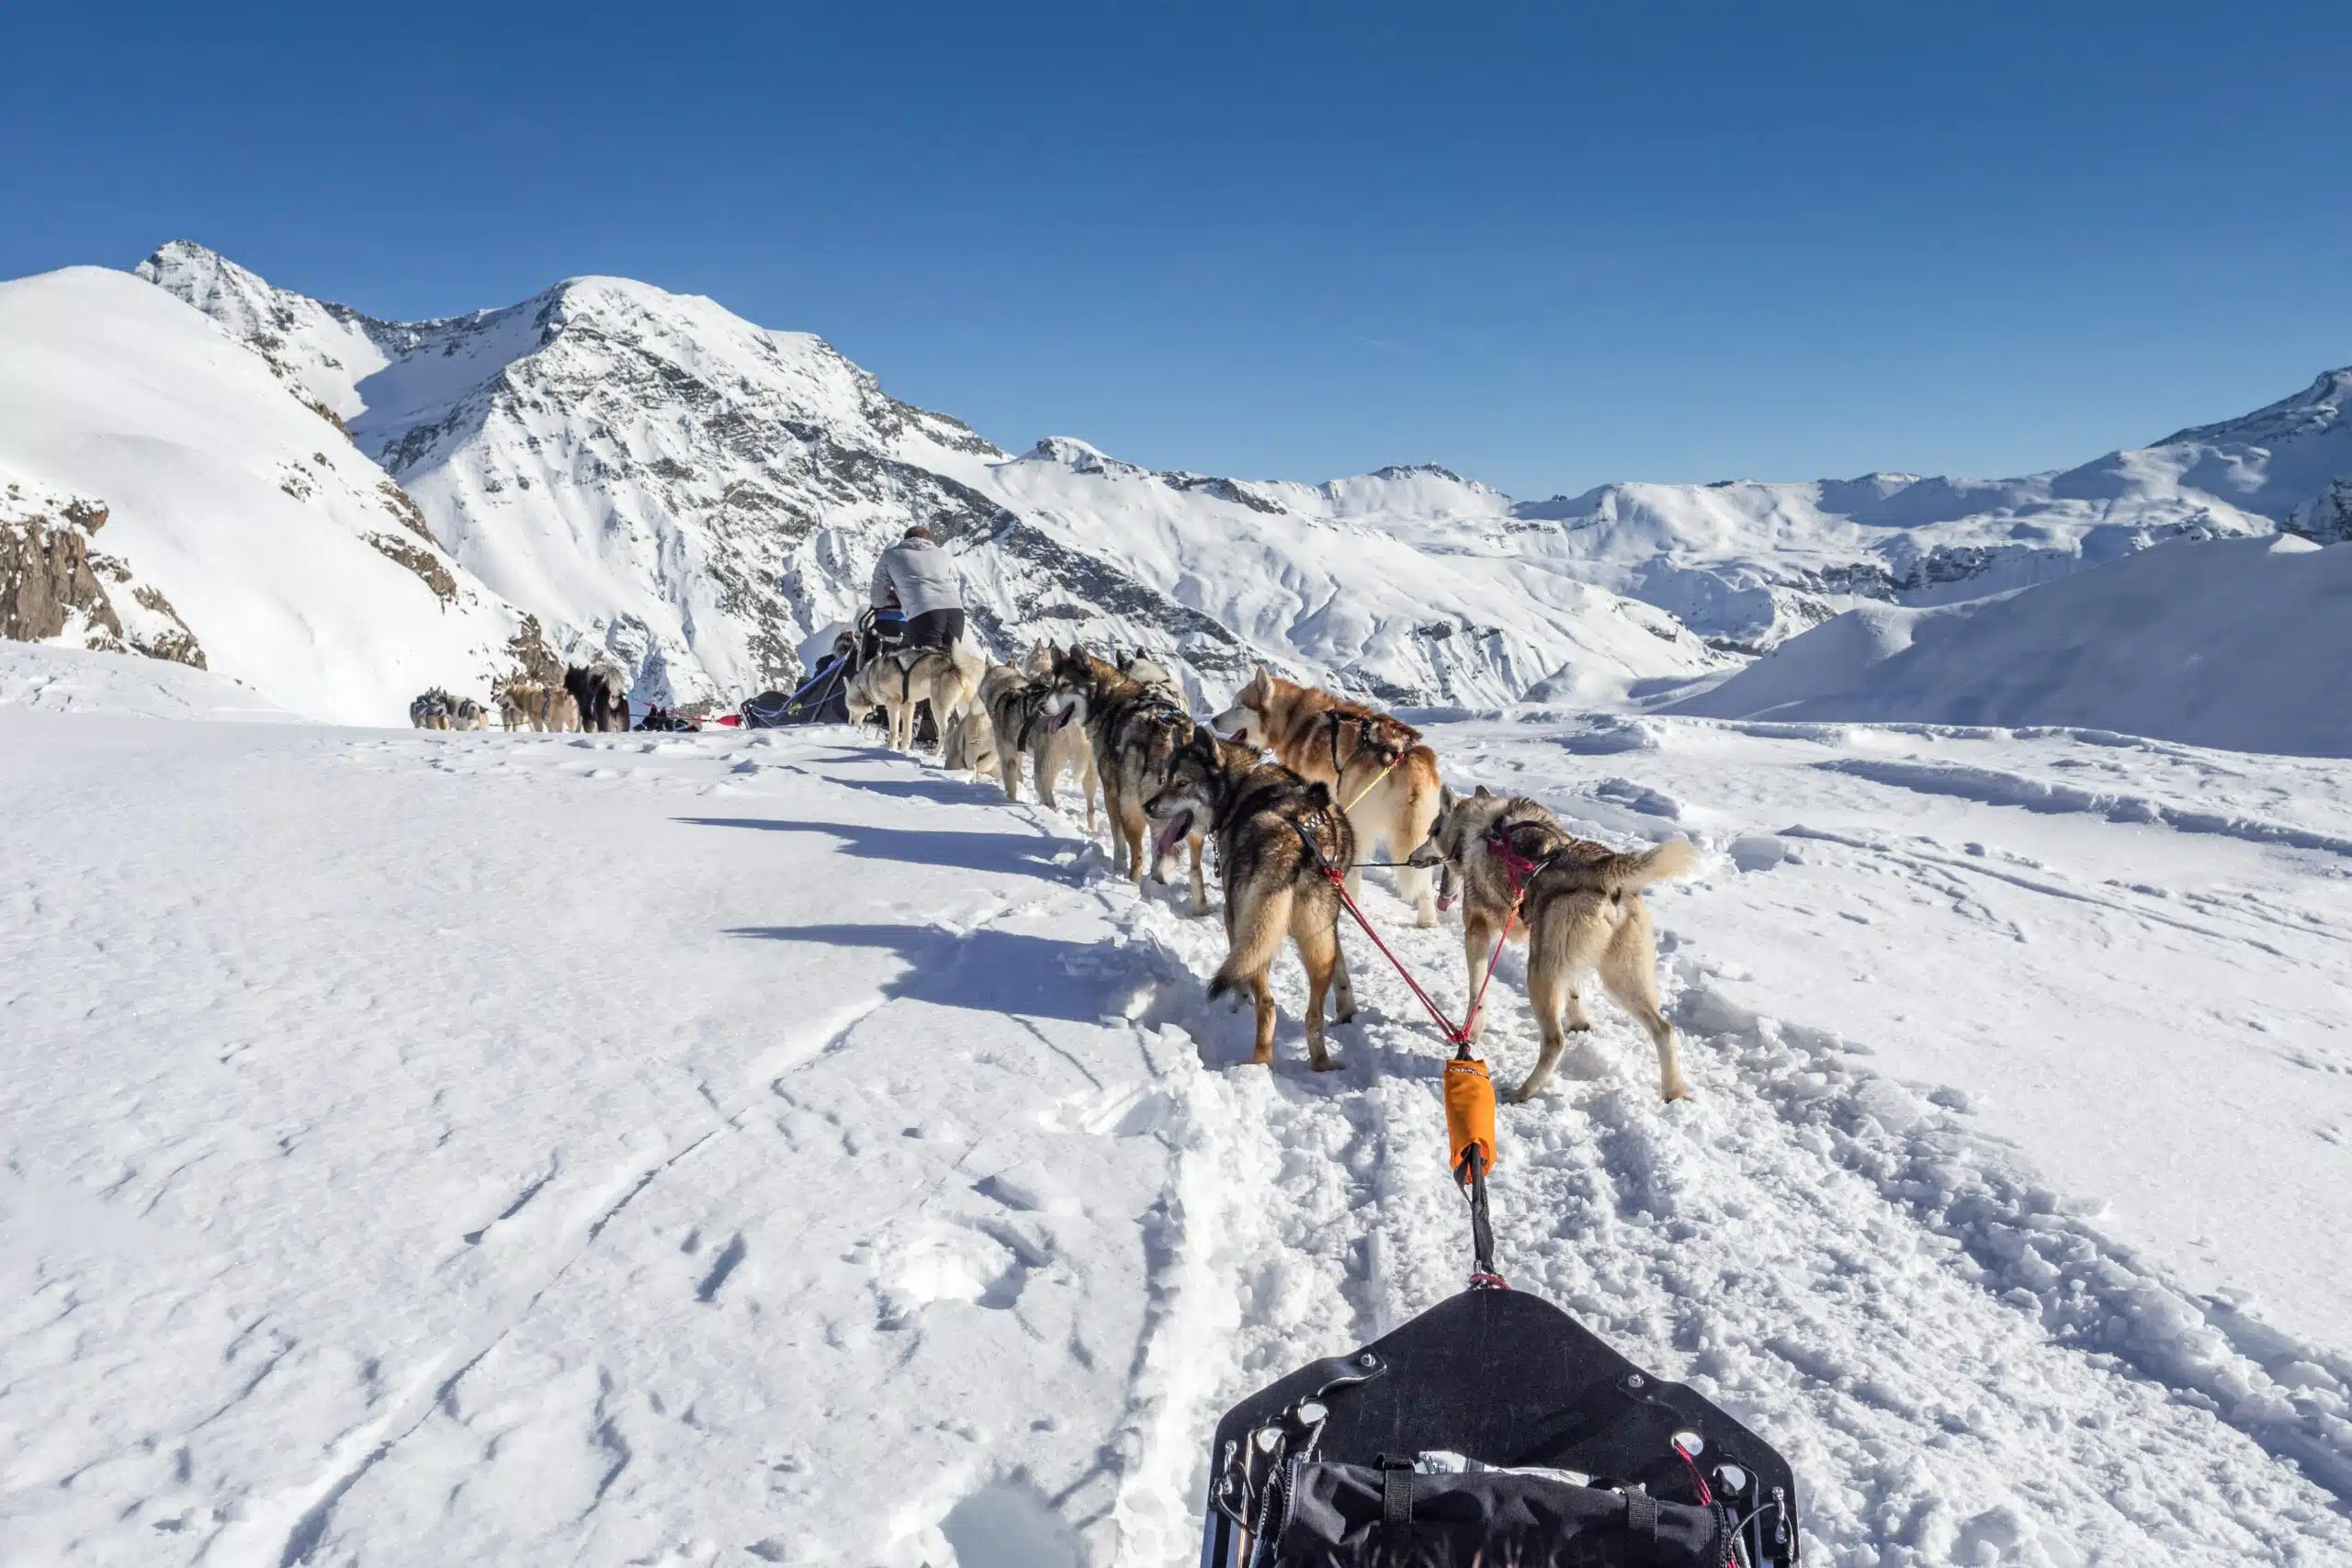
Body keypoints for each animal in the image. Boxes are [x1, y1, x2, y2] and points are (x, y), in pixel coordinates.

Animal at [1048, 644, 1204, 911]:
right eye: (1052, 684)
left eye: (1065, 685)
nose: (1041, 706)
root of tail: (1174, 735)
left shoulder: (1112, 793)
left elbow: (1118, 839)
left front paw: (1117, 866)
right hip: (1194, 823)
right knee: (1195, 870)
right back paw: (1199, 908)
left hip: (1132, 808)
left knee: (1138, 855)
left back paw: (1130, 885)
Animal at [1143, 733, 1363, 1066]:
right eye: (1165, 779)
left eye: (1182, 783)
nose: (1147, 806)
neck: (1242, 783)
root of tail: (1296, 840)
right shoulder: (1332, 926)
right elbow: (1342, 968)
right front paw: (1347, 1009)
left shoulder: (1232, 916)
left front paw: (1238, 1001)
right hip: (1315, 936)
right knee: (1313, 1015)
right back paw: (1321, 1064)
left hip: (1255, 925)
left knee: (1268, 1003)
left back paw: (1256, 1064)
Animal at [1223, 667, 1439, 931]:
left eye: (1238, 707)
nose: (1213, 720)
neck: (1293, 719)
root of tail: (1401, 751)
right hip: (1420, 833)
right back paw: (1427, 919)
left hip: (1356, 813)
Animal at [1401, 784, 1702, 1104]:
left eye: (1431, 832)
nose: (1412, 857)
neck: (1476, 828)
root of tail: (1604, 868)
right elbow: (1574, 993)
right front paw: (1580, 1024)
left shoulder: (1477, 931)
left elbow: (1476, 995)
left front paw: (1469, 1033)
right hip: (1619, 976)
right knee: (1664, 1029)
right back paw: (1674, 1092)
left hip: (1539, 974)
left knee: (1555, 1041)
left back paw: (1522, 1092)